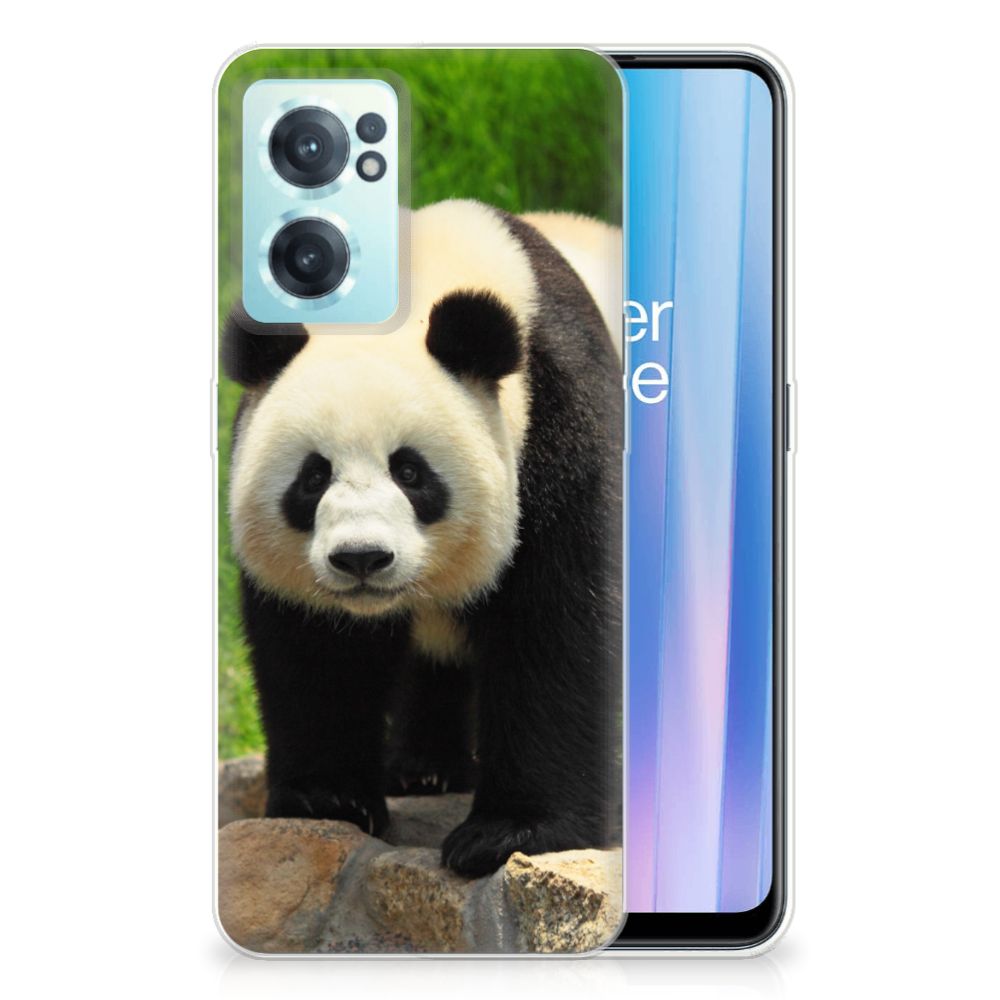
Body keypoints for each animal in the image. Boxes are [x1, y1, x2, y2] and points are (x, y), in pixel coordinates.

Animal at [223, 199, 622, 877]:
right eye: (313, 476)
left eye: (410, 472)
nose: (361, 558)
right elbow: (315, 650)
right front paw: (328, 799)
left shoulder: (561, 422)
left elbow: (557, 625)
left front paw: (509, 832)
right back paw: (424, 770)